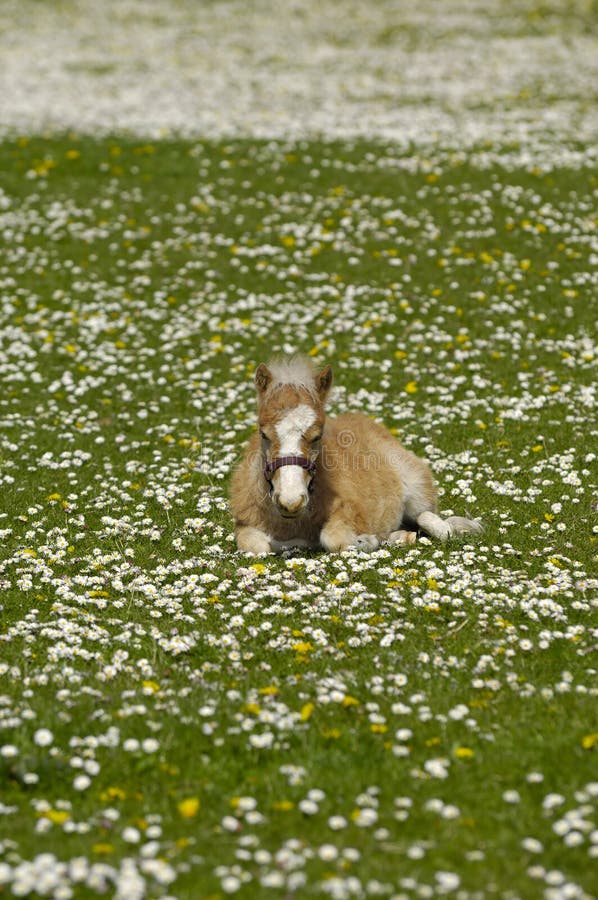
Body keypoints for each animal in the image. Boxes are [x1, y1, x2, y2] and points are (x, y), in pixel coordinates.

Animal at [230, 358, 482, 556]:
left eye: (317, 436)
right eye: (263, 433)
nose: (291, 502)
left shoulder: (349, 512)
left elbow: (332, 539)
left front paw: (365, 540)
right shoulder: (245, 522)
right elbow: (257, 545)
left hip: (418, 490)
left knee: (435, 522)